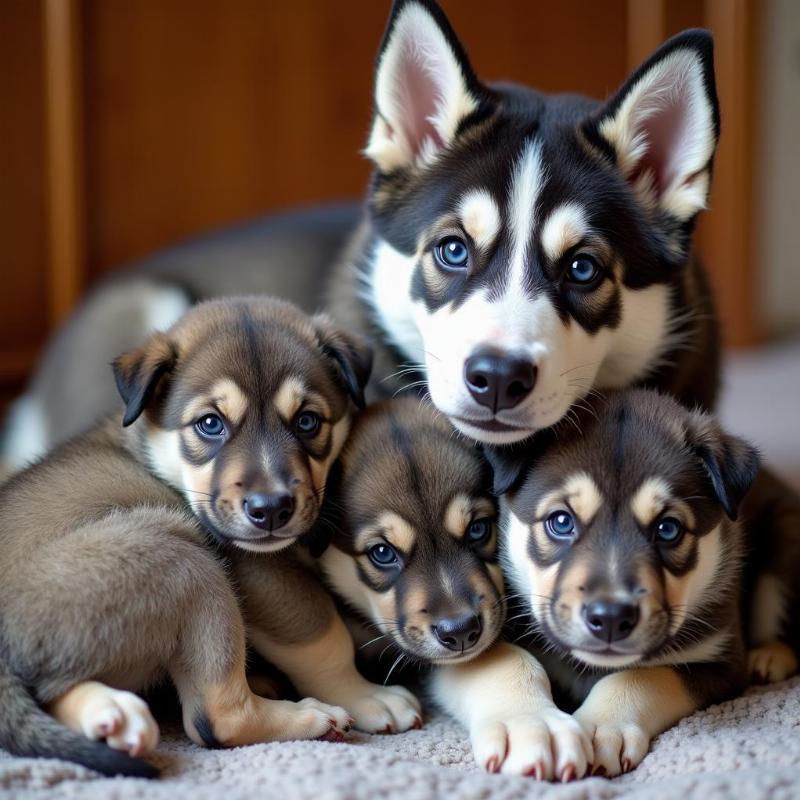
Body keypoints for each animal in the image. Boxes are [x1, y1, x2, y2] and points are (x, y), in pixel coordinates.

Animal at [488, 390, 792, 780]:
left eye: (668, 528)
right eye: (561, 521)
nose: (611, 618)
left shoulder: (721, 660)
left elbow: (645, 676)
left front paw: (599, 727)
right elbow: (514, 661)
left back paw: (770, 656)